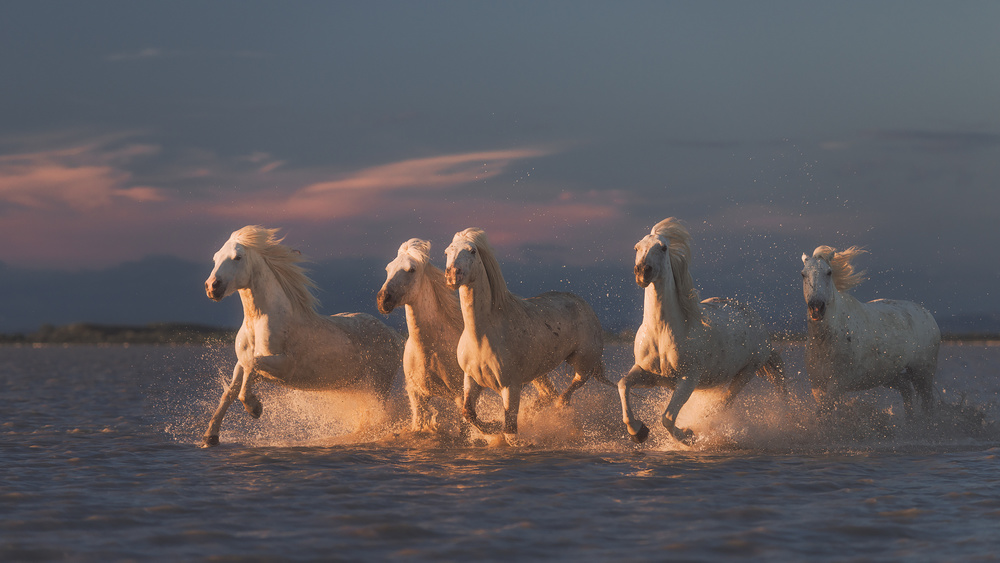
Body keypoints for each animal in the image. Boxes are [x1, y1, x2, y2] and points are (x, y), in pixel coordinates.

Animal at [201, 227, 404, 448]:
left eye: (237, 257)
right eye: (215, 257)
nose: (212, 287)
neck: (259, 323)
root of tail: (393, 335)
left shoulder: (284, 366)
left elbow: (253, 367)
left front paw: (255, 408)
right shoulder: (241, 363)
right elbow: (229, 392)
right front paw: (210, 437)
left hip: (379, 385)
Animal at [376, 238, 560, 432]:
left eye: (411, 269)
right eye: (388, 268)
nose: (383, 300)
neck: (430, 348)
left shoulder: (460, 394)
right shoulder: (417, 395)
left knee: (549, 394)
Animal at [446, 227, 608, 442]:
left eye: (472, 251)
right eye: (447, 252)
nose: (452, 275)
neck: (481, 335)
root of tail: (584, 304)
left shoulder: (511, 386)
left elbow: (510, 432)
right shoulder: (472, 380)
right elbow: (469, 413)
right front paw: (492, 427)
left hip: (583, 361)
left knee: (573, 385)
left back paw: (560, 407)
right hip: (538, 372)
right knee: (548, 394)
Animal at [612, 219, 784, 446]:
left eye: (663, 247)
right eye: (637, 248)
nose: (642, 272)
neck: (662, 333)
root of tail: (756, 320)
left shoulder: (687, 380)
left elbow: (667, 418)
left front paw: (688, 435)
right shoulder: (648, 374)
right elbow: (623, 384)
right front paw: (638, 431)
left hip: (747, 371)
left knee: (723, 403)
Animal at [800, 245, 940, 416]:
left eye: (829, 272)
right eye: (803, 274)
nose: (816, 307)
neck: (825, 341)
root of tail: (927, 314)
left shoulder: (837, 385)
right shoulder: (817, 386)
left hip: (923, 374)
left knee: (927, 404)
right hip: (889, 376)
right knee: (906, 390)